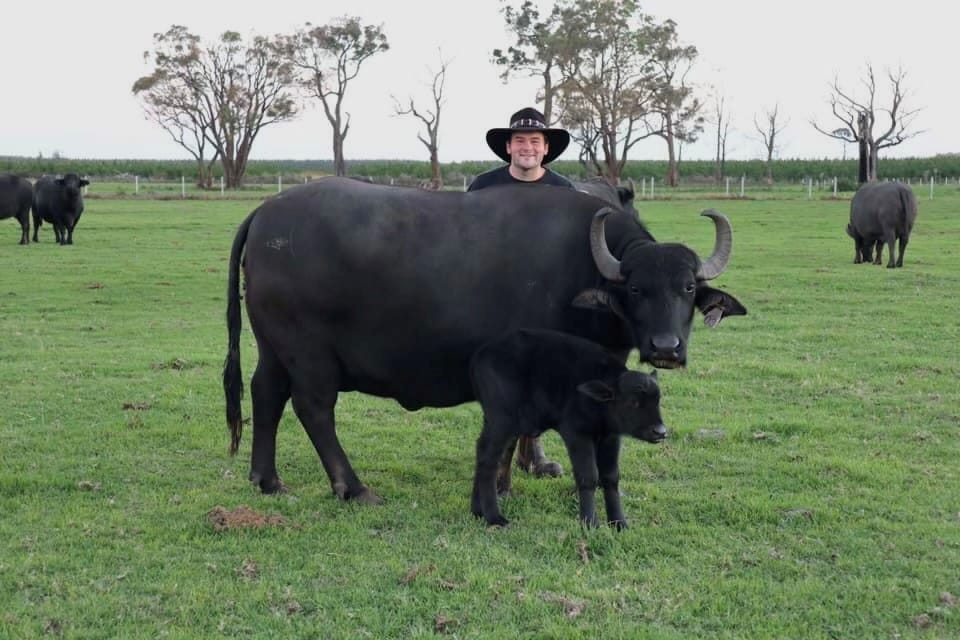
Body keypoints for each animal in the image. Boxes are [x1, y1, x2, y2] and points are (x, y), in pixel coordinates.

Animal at [223, 177, 746, 501]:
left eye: (688, 288)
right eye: (637, 288)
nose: (665, 348)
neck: (584, 269)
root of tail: (266, 214)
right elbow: (515, 427)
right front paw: (500, 486)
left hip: (274, 347)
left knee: (266, 394)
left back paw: (267, 480)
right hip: (308, 352)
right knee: (313, 408)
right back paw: (353, 488)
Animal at [470, 328, 666, 529]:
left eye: (658, 400)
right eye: (633, 402)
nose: (660, 431)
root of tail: (482, 355)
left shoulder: (610, 437)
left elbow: (611, 477)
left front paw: (619, 523)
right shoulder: (577, 434)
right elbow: (588, 477)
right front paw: (590, 522)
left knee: (483, 451)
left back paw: (477, 510)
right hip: (502, 422)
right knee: (489, 458)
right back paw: (494, 517)